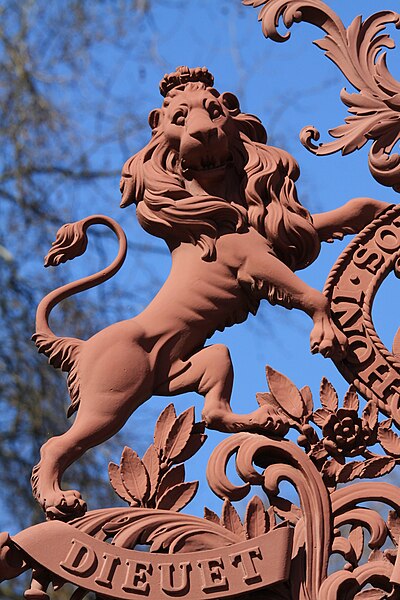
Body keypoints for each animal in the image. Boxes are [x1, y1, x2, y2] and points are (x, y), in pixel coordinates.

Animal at [32, 64, 390, 516]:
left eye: (216, 110)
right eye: (179, 118)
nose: (202, 134)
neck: (221, 198)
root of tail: (80, 347)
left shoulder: (276, 238)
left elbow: (343, 213)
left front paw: (379, 210)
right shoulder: (255, 262)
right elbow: (310, 295)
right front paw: (327, 334)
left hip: (195, 365)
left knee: (215, 412)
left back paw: (263, 420)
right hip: (112, 399)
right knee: (55, 446)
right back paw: (57, 498)